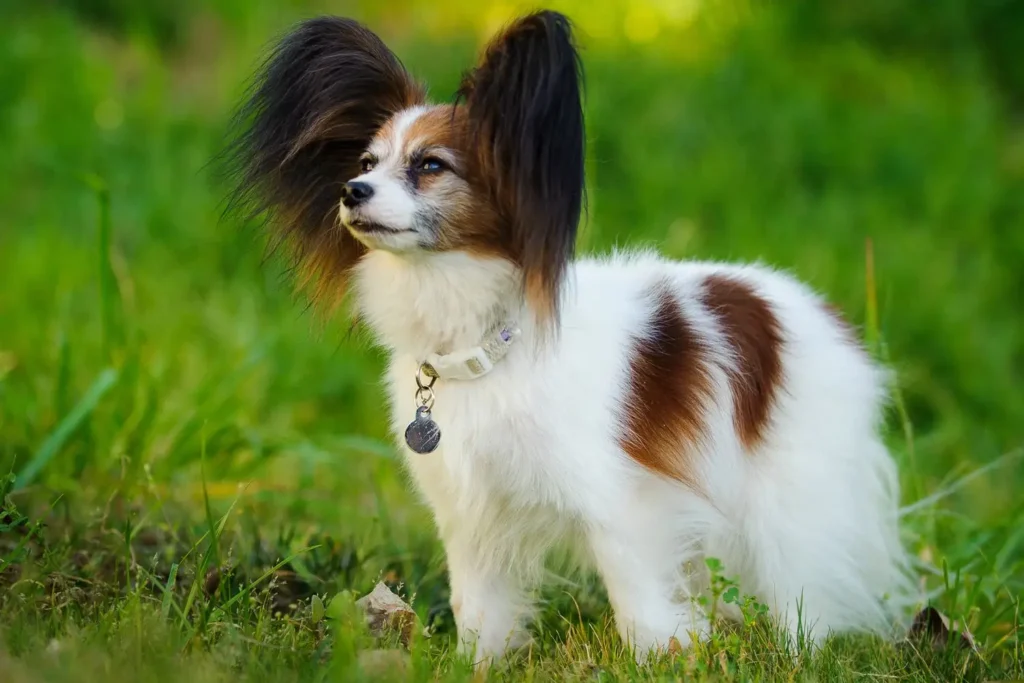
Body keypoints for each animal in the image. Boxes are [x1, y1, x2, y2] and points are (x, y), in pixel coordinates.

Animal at [228, 9, 917, 663]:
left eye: (429, 166)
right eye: (366, 164)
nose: (352, 191)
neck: (484, 346)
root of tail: (812, 309)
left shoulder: (623, 502)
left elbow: (638, 593)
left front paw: (663, 656)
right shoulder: (472, 510)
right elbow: (478, 602)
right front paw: (478, 661)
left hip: (783, 493)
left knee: (799, 579)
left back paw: (798, 648)